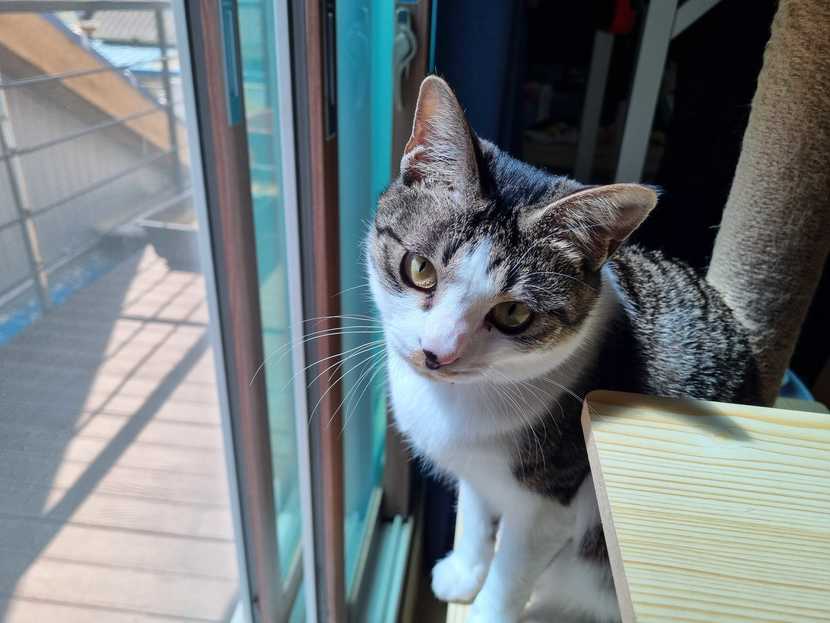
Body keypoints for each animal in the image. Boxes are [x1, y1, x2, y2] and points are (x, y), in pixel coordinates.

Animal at [366, 76, 760, 623]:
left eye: (514, 314)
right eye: (419, 268)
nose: (436, 352)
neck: (460, 403)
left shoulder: (551, 500)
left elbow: (512, 570)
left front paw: (487, 610)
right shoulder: (476, 468)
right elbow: (475, 508)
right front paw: (464, 571)